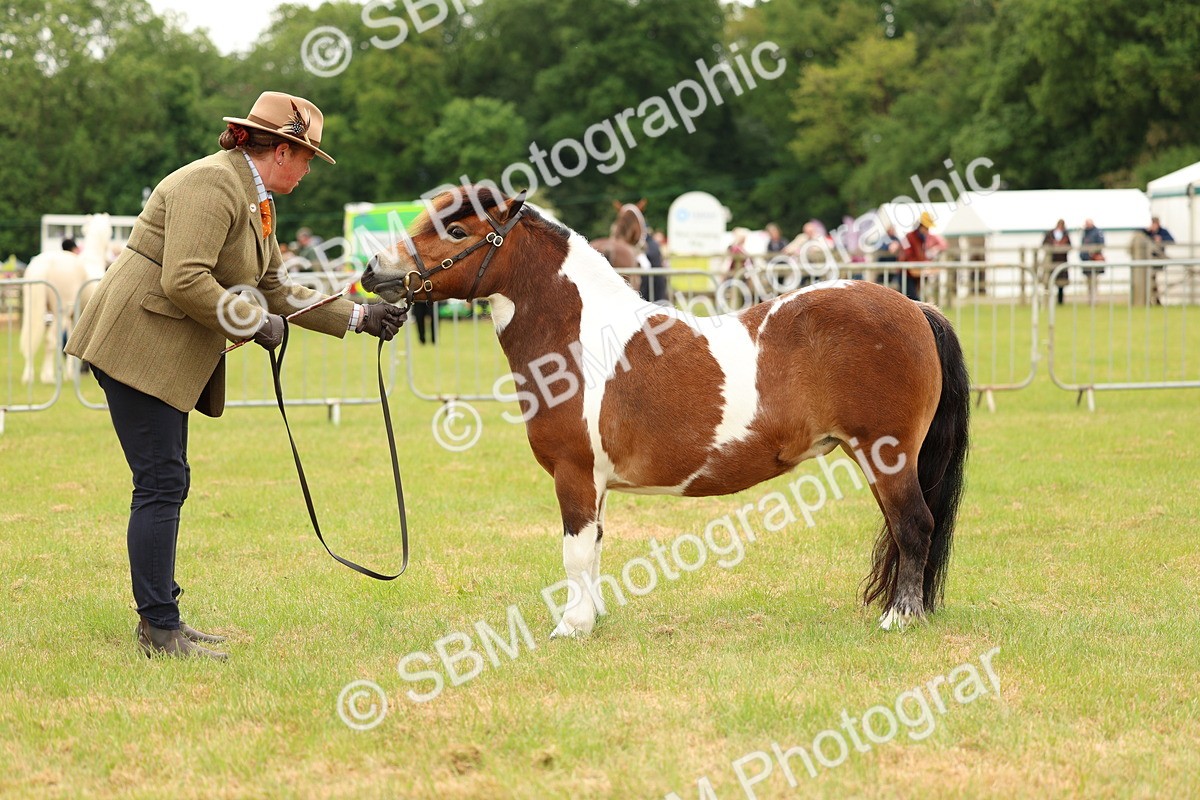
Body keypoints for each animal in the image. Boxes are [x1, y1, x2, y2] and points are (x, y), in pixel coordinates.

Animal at [19, 213, 112, 384]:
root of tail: (45, 264)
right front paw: (72, 373)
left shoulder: (75, 317)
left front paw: (70, 373)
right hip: (60, 312)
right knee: (50, 340)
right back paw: (48, 376)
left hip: (34, 308)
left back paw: (28, 376)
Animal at [361, 186, 970, 636]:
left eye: (456, 232)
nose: (372, 271)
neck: (579, 337)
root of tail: (913, 305)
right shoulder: (595, 483)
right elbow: (595, 549)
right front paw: (593, 620)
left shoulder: (574, 474)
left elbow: (574, 554)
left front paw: (571, 628)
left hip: (886, 456)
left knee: (914, 526)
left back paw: (900, 619)